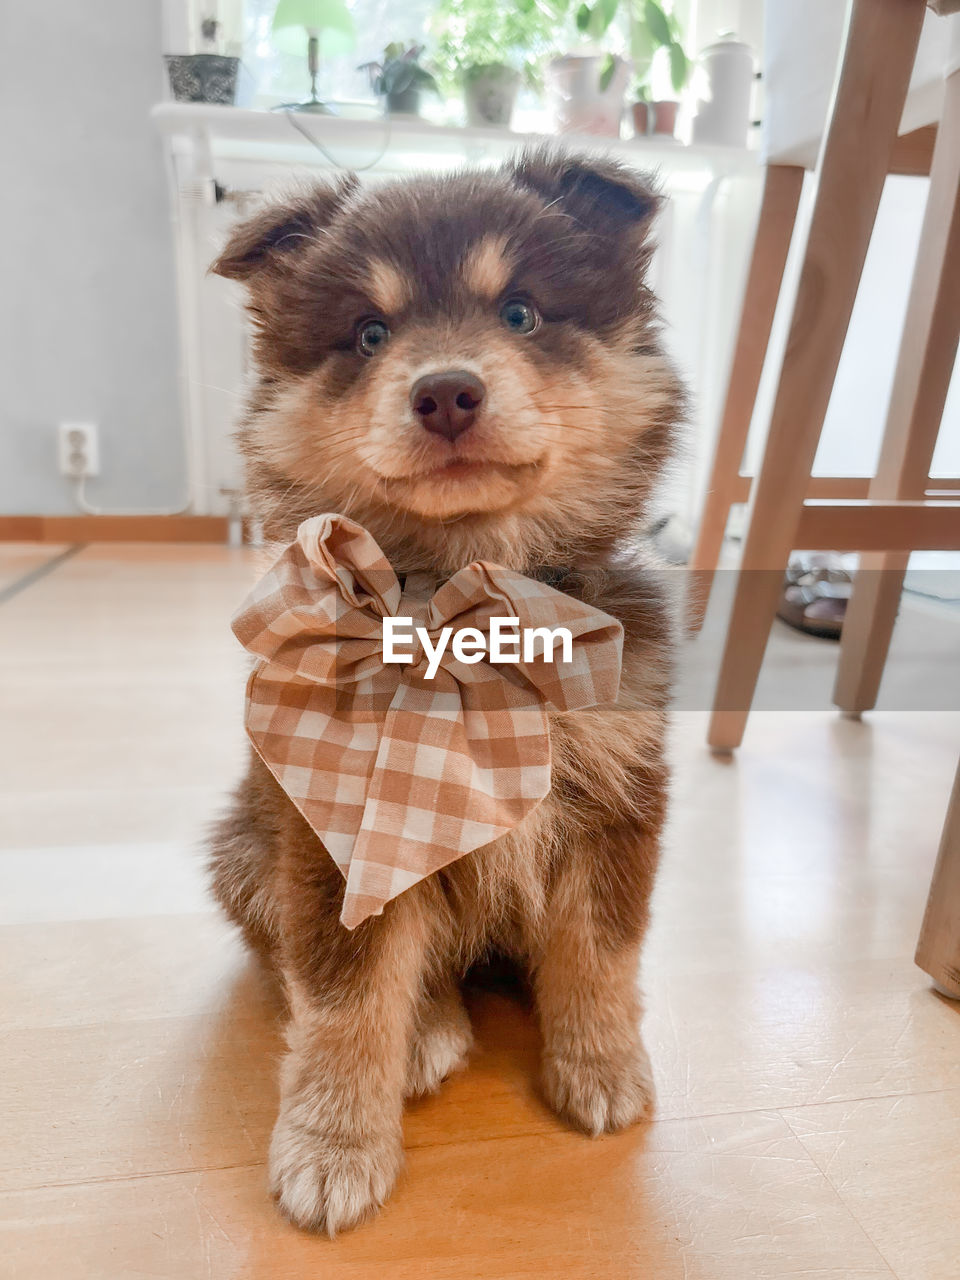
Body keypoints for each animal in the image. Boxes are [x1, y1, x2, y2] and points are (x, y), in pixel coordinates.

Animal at [209, 147, 686, 1228]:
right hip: (247, 850)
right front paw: (332, 1143)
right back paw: (426, 1026)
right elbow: (341, 994)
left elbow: (600, 949)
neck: (465, 597)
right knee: (288, 959)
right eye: (369, 333)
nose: (447, 391)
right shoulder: (337, 825)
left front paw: (600, 1062)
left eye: (520, 312)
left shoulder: (618, 796)